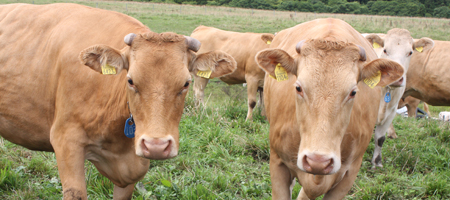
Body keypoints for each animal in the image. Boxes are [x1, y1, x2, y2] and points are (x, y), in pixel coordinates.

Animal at [366, 29, 436, 167]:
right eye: (385, 50)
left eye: (410, 52)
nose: (396, 77)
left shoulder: (391, 112)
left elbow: (380, 138)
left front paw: (377, 163)